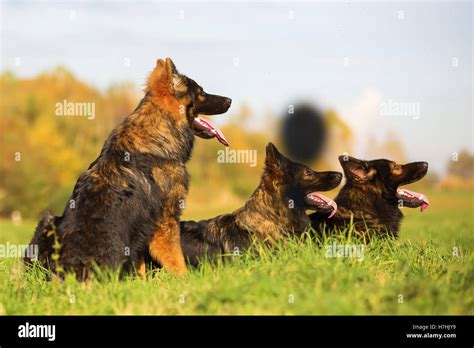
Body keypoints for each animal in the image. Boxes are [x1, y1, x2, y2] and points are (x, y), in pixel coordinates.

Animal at [24, 57, 231, 280]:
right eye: (201, 92)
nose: (229, 100)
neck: (159, 129)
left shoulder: (143, 229)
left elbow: (141, 264)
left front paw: (141, 283)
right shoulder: (165, 222)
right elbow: (177, 261)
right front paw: (185, 281)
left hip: (47, 221)